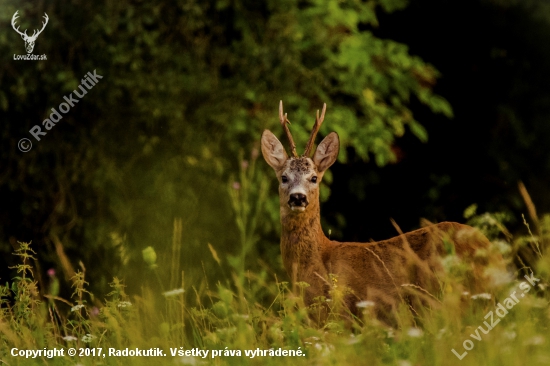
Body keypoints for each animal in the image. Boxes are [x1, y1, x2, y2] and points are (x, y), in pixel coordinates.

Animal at [260, 101, 506, 324]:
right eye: (284, 177)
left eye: (313, 178)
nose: (298, 197)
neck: (316, 260)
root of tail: (491, 253)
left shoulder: (341, 314)